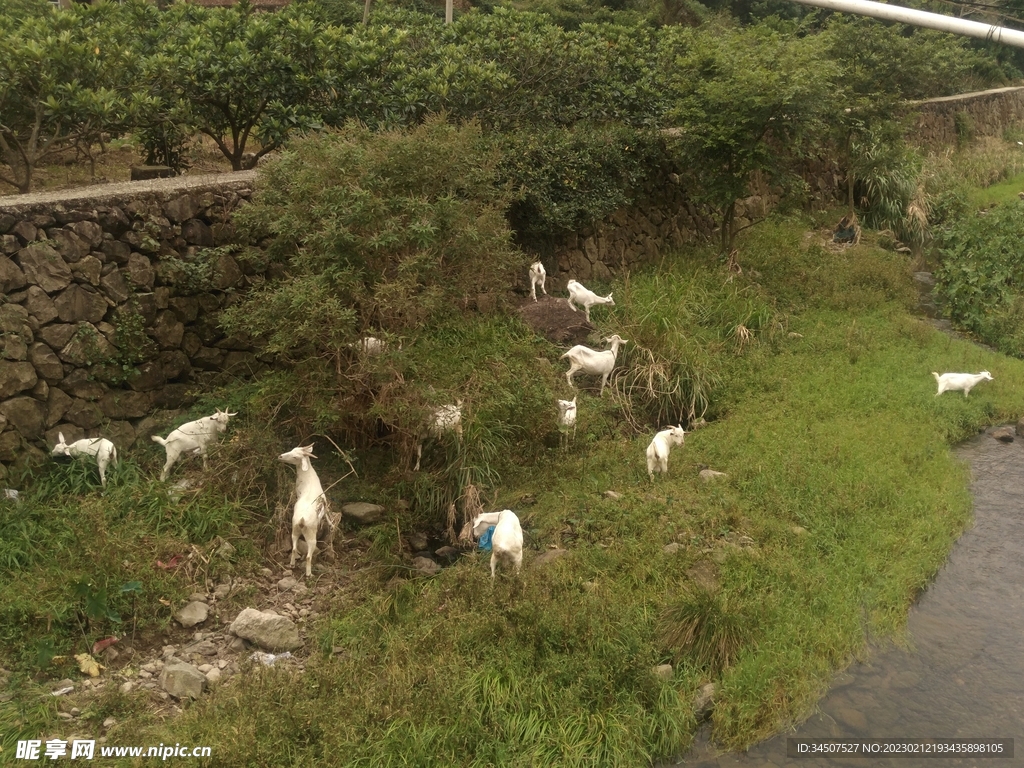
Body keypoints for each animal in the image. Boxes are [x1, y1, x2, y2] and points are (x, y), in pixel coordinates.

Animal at [276, 444, 335, 577]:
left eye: (295, 456)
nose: (280, 456)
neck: (308, 478)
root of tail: (302, 521)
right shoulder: (324, 500)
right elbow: (327, 513)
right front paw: (331, 525)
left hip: (294, 530)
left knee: (294, 548)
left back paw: (292, 564)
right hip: (311, 536)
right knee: (308, 556)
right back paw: (309, 574)